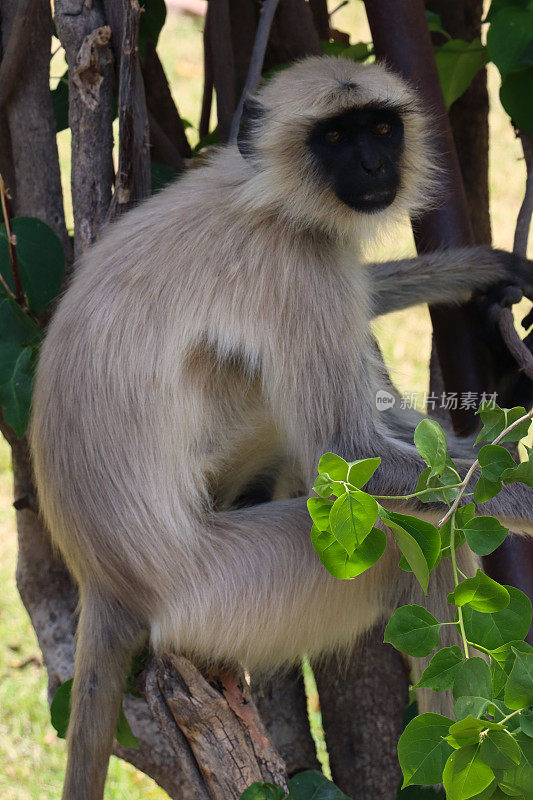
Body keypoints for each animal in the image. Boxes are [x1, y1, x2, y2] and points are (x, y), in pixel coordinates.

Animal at [30, 57, 532, 800]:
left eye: (380, 128)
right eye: (334, 137)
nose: (372, 164)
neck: (262, 194)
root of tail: (105, 581)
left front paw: (472, 269)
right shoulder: (295, 264)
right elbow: (349, 452)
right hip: (233, 595)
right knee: (414, 539)